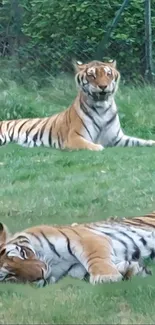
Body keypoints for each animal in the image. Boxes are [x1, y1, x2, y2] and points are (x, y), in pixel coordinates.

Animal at [0, 58, 155, 150]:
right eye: (92, 75)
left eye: (108, 74)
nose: (103, 86)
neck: (102, 107)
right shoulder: (74, 137)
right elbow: (93, 145)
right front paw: (99, 147)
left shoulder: (117, 138)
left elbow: (137, 140)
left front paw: (151, 142)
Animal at [0, 211, 154, 288]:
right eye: (9, 276)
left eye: (22, 253)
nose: (41, 274)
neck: (54, 264)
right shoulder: (75, 270)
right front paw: (130, 270)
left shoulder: (85, 239)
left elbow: (95, 259)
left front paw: (106, 277)